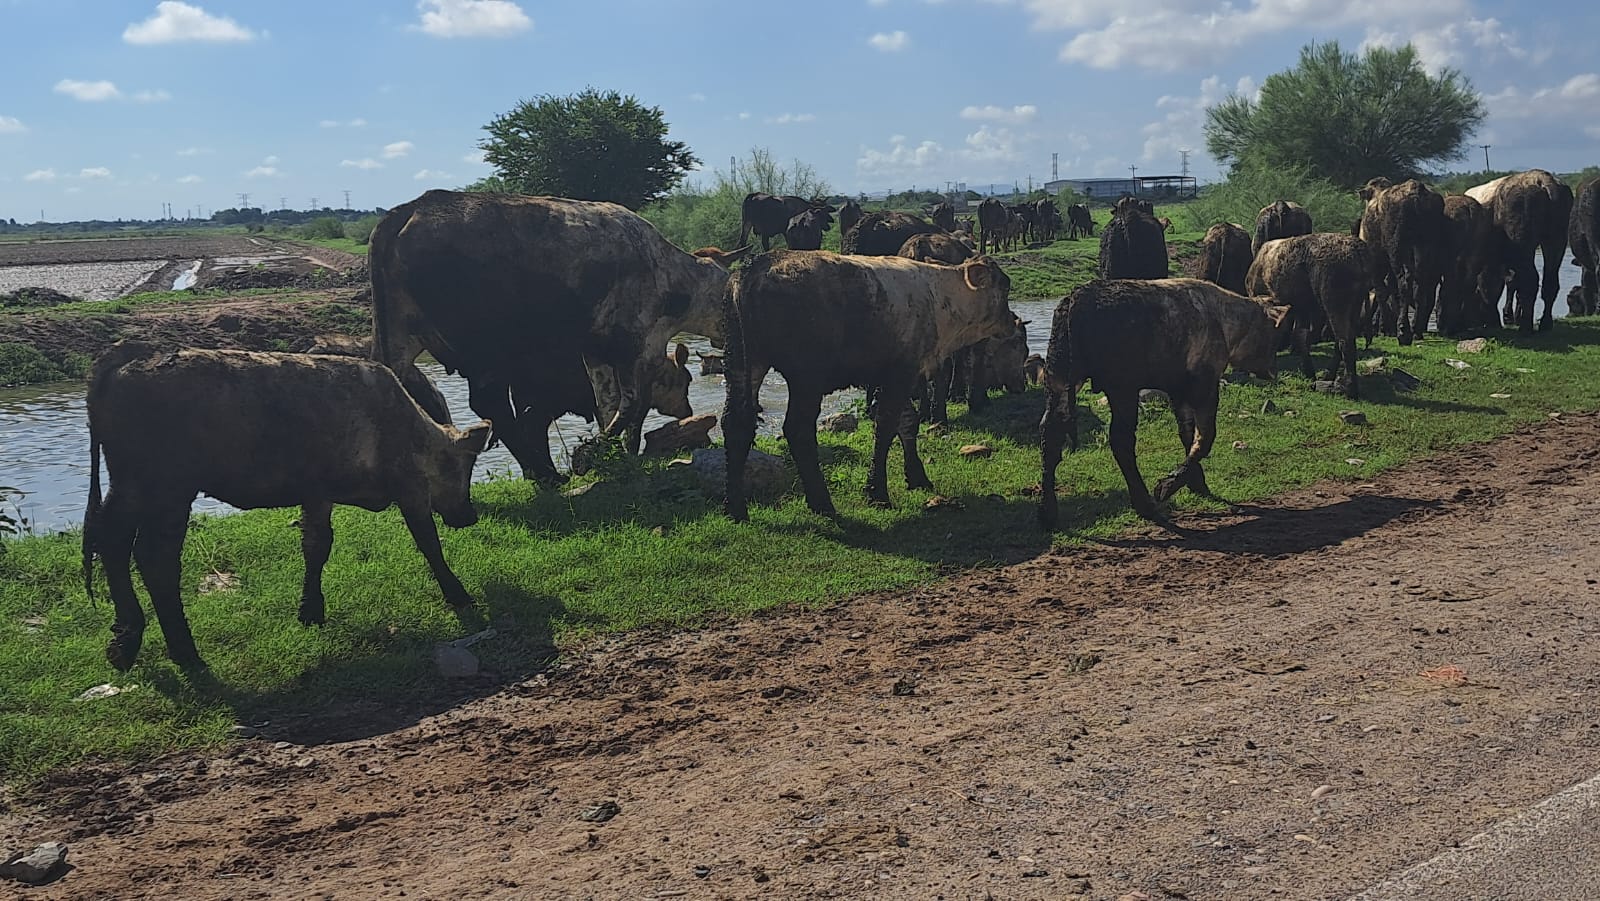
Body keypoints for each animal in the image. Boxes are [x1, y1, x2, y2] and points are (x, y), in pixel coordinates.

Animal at [82, 340, 494, 671]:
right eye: (464, 468)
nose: (468, 516)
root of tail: (132, 353)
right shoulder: (409, 485)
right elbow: (428, 541)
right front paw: (458, 593)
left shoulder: (317, 491)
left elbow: (316, 545)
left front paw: (310, 609)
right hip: (167, 490)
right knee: (155, 558)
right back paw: (185, 652)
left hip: (131, 486)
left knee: (113, 540)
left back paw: (125, 640)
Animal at [368, 190, 746, 480]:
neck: (672, 277)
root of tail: (412, 208)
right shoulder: (632, 343)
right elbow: (630, 404)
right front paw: (594, 450)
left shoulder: (597, 352)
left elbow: (609, 403)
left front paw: (615, 453)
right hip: (486, 349)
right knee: (494, 407)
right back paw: (546, 474)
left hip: (396, 340)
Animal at [721, 252, 1014, 520]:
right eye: (1005, 286)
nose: (1011, 320)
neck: (939, 298)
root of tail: (756, 267)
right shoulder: (901, 373)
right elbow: (886, 427)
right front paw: (878, 491)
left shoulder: (887, 376)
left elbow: (907, 422)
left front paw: (916, 476)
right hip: (806, 375)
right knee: (798, 430)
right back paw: (822, 502)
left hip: (740, 361)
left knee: (735, 424)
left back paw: (735, 508)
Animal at [1037, 279, 1290, 526]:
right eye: (1273, 334)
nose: (1273, 371)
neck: (1224, 320)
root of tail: (1079, 296)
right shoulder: (1205, 384)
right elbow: (1205, 437)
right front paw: (1167, 487)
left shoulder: (1179, 391)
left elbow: (1187, 433)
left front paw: (1197, 484)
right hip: (1122, 387)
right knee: (1121, 441)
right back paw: (1146, 504)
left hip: (1058, 376)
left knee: (1051, 434)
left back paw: (1048, 511)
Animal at [1245, 233, 1371, 398]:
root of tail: (1358, 250)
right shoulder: (1302, 308)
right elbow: (1300, 335)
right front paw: (1309, 373)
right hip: (1355, 304)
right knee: (1342, 340)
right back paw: (1328, 376)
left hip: (1335, 302)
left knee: (1346, 341)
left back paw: (1349, 389)